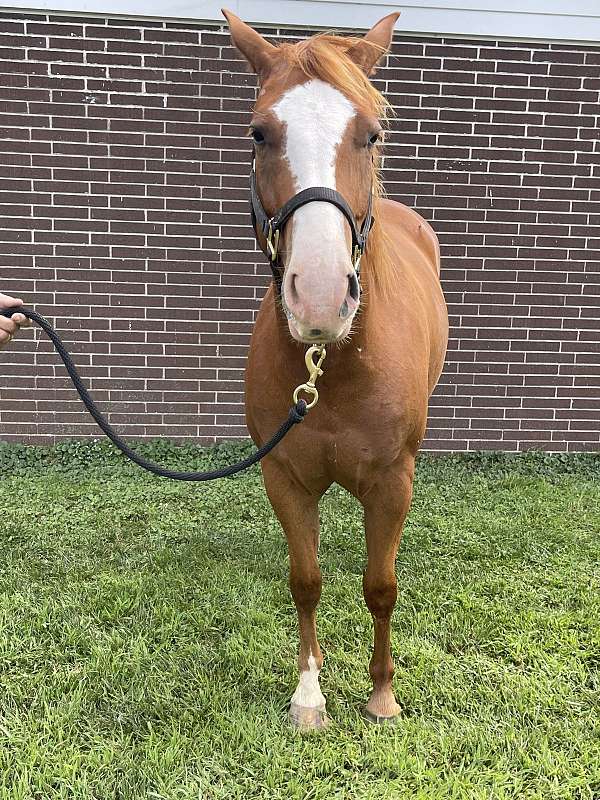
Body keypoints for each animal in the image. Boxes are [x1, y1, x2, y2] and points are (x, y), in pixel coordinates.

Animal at [223, 7, 448, 732]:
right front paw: (309, 695)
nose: (320, 297)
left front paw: (381, 694)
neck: (338, 367)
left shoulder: (392, 481)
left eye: (370, 134)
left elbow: (381, 586)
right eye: (259, 133)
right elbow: (307, 581)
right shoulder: (285, 477)